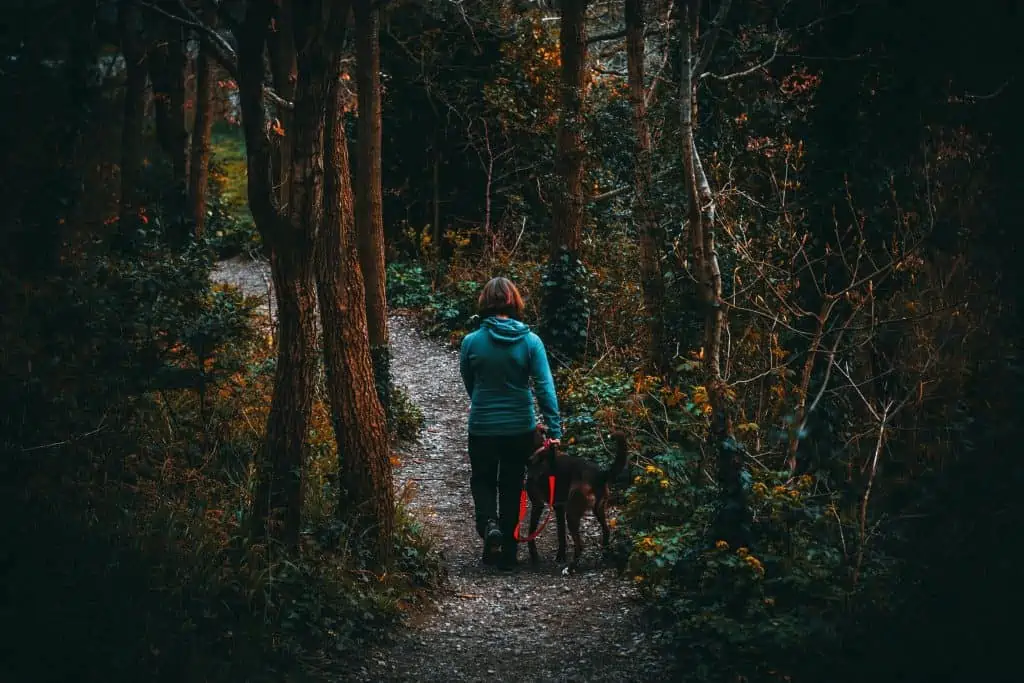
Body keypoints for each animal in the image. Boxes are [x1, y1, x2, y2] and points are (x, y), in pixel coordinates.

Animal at [524, 428, 626, 573]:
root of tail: (600, 474)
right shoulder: (559, 507)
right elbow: (561, 534)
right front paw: (560, 556)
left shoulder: (538, 504)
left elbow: (531, 532)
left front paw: (534, 556)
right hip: (598, 509)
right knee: (606, 531)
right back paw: (605, 556)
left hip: (572, 514)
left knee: (580, 545)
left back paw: (571, 567)